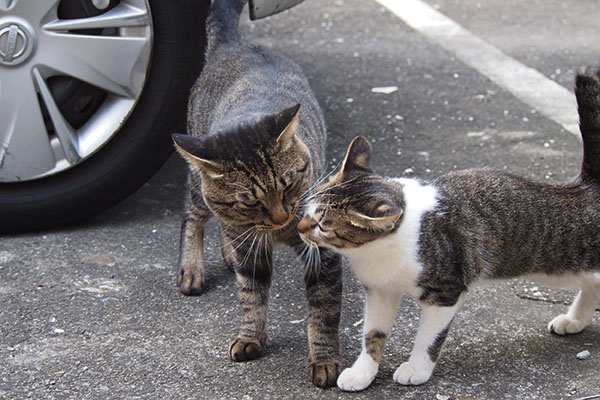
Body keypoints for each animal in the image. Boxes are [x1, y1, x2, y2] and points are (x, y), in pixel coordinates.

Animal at [173, 0, 342, 388]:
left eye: (289, 184)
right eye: (249, 201)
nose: (281, 217)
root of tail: (233, 44)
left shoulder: (322, 254)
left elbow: (323, 311)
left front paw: (324, 360)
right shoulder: (250, 247)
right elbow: (251, 296)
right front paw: (251, 336)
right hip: (196, 184)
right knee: (194, 216)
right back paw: (192, 268)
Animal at [298, 68, 600, 390]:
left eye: (322, 225)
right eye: (310, 205)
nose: (300, 226)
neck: (375, 251)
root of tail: (585, 186)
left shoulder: (445, 292)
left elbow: (428, 339)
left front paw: (416, 368)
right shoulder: (380, 290)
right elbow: (372, 334)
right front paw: (363, 372)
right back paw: (574, 321)